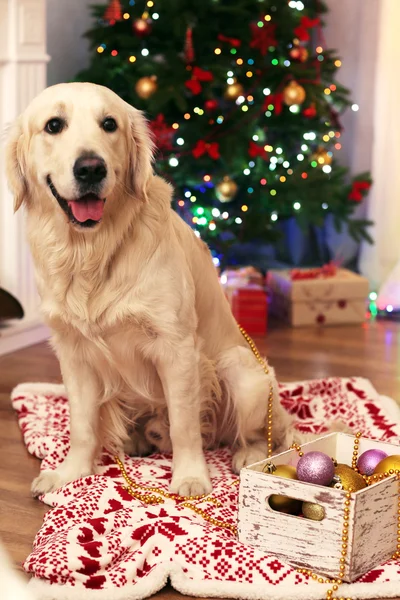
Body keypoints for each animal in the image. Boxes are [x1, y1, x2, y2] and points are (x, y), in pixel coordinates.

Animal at [5, 83, 294, 496]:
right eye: (54, 125)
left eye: (109, 124)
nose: (91, 168)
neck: (92, 251)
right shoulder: (73, 352)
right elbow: (82, 424)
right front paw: (72, 473)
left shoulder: (177, 347)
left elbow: (186, 424)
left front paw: (190, 477)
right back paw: (144, 437)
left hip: (243, 372)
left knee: (260, 433)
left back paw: (248, 454)